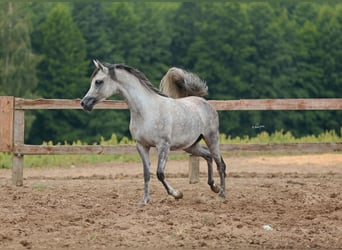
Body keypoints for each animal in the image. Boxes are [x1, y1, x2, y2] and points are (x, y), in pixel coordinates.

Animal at [81, 60, 227, 203]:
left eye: (98, 81)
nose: (84, 103)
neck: (146, 111)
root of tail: (204, 103)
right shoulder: (142, 146)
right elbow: (146, 173)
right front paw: (145, 200)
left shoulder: (163, 146)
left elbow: (159, 173)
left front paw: (177, 194)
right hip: (190, 146)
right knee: (208, 156)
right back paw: (214, 186)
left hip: (211, 138)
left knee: (220, 164)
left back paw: (222, 194)